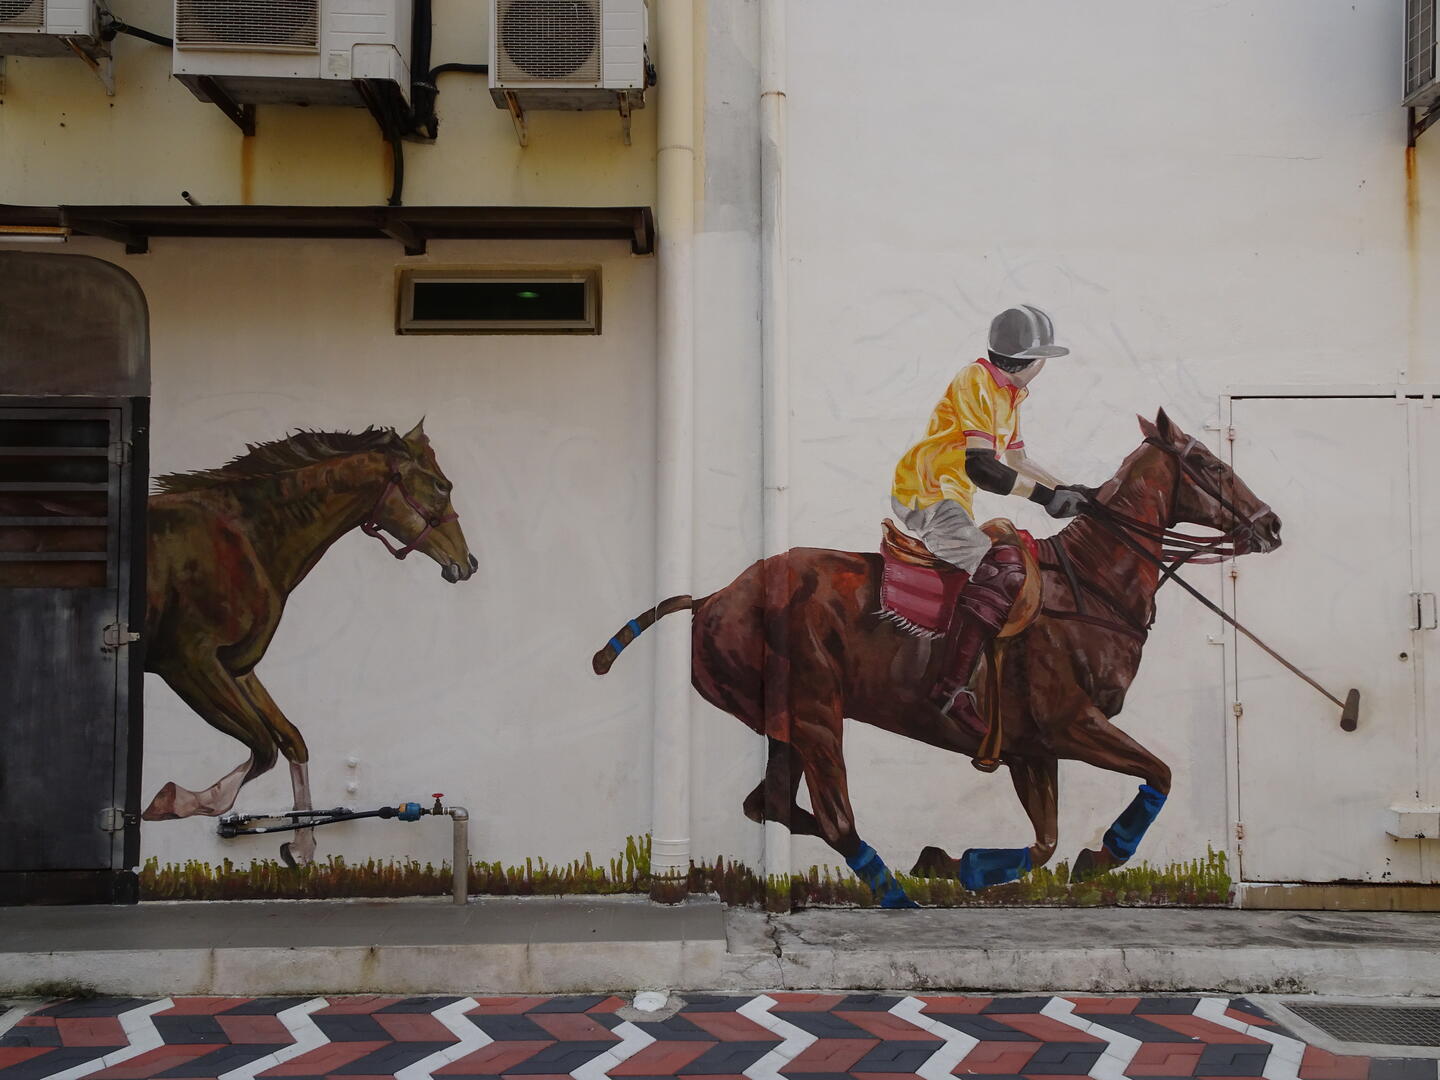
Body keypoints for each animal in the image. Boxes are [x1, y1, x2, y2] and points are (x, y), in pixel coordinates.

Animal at [141, 420, 476, 865]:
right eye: (441, 485)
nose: (468, 563)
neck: (243, 537)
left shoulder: (237, 667)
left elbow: (290, 740)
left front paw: (301, 847)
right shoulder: (189, 663)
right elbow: (263, 745)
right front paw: (178, 801)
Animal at [593, 409, 1282, 906]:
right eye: (1206, 462)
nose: (1270, 524)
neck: (1090, 585)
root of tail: (712, 597)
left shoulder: (1032, 747)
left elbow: (1046, 842)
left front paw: (959, 863)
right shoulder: (1070, 723)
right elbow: (1159, 774)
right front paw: (1104, 852)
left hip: (784, 723)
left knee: (768, 805)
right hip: (816, 712)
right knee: (835, 819)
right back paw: (895, 894)